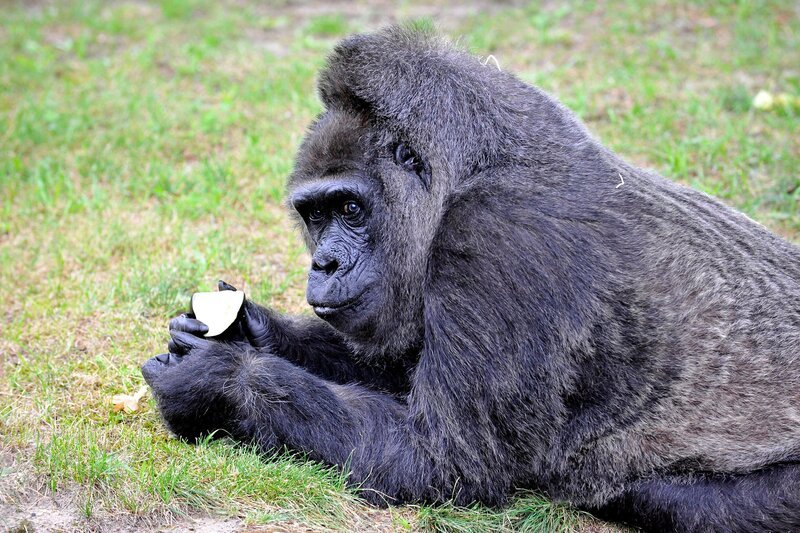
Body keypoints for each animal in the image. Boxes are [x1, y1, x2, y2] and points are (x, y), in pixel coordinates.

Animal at [142, 26, 800, 531]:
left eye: (351, 208)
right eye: (315, 215)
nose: (323, 264)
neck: (469, 169)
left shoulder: (497, 240)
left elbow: (445, 458)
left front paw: (217, 380)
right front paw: (250, 333)